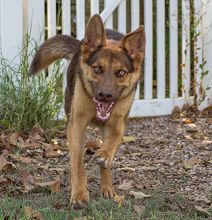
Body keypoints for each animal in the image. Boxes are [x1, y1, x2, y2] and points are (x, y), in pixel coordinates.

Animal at [29, 14, 145, 210]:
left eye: (121, 73)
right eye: (98, 69)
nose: (105, 95)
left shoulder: (118, 125)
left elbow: (112, 145)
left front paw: (104, 156)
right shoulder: (76, 125)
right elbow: (78, 163)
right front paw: (79, 194)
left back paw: (107, 186)